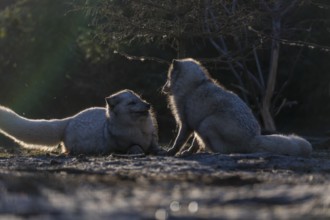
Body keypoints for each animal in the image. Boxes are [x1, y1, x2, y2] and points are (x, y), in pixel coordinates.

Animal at [0, 89, 163, 155]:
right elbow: (136, 147)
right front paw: (140, 150)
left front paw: (162, 151)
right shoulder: (122, 146)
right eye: (131, 103)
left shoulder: (152, 140)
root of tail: (70, 119)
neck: (139, 128)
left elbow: (155, 146)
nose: (148, 105)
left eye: (140, 99)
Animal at [164, 58, 314, 156]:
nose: (163, 88)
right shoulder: (194, 124)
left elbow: (179, 141)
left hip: (206, 123)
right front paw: (189, 152)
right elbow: (195, 143)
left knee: (223, 150)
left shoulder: (186, 123)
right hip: (202, 124)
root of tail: (253, 139)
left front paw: (171, 152)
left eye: (168, 78)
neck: (194, 85)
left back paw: (211, 151)